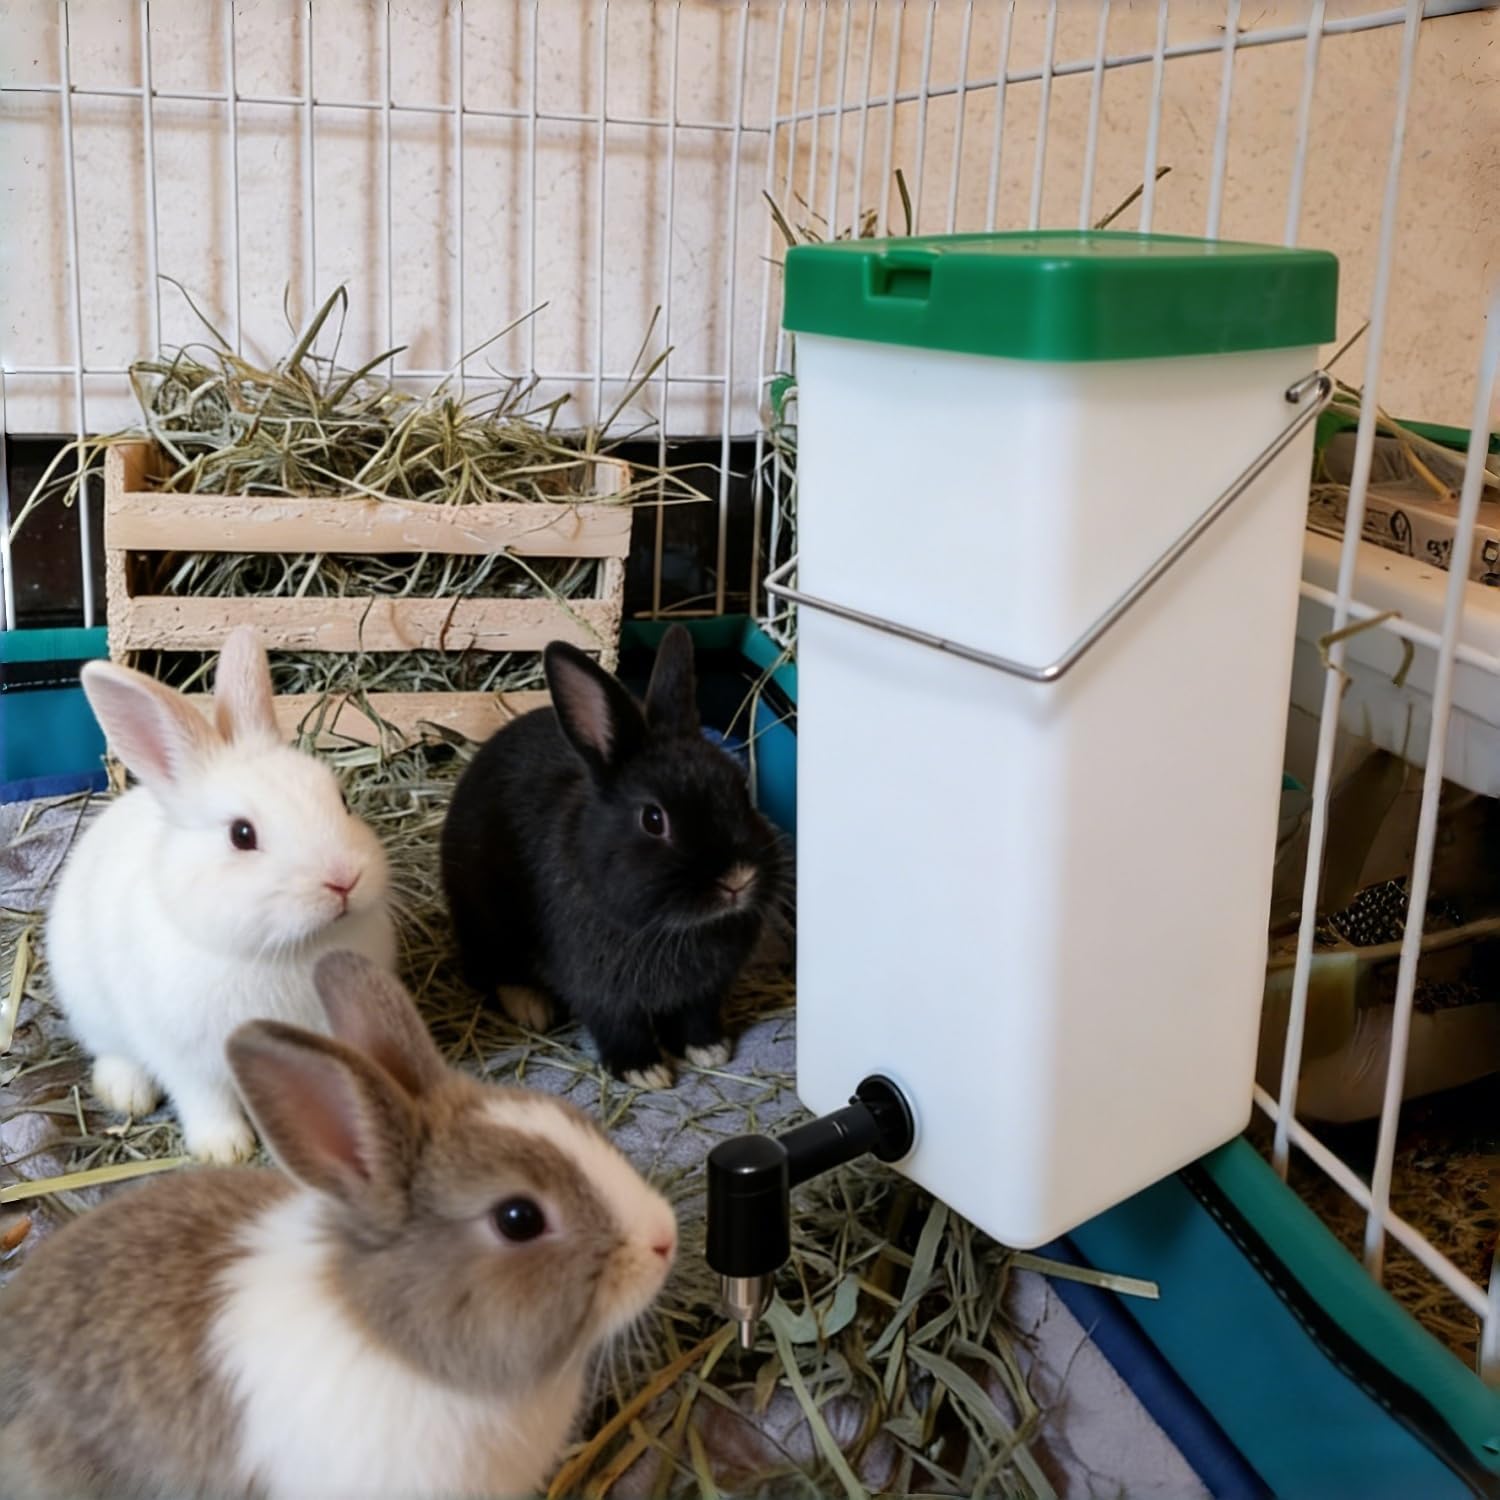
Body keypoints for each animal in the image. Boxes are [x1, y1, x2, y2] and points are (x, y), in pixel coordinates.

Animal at [44, 627, 396, 1165]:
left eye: (342, 799)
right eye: (242, 834)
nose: (343, 879)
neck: (279, 952)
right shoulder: (186, 1057)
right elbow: (205, 1100)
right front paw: (224, 1150)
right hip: (88, 1003)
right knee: (112, 1051)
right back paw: (126, 1093)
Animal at [440, 624, 786, 1089]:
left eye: (741, 788)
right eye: (654, 819)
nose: (738, 879)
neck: (672, 928)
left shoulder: (706, 990)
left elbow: (696, 1016)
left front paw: (709, 1049)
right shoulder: (600, 991)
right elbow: (618, 1026)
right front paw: (645, 1071)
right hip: (481, 923)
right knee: (492, 967)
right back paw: (530, 1006)